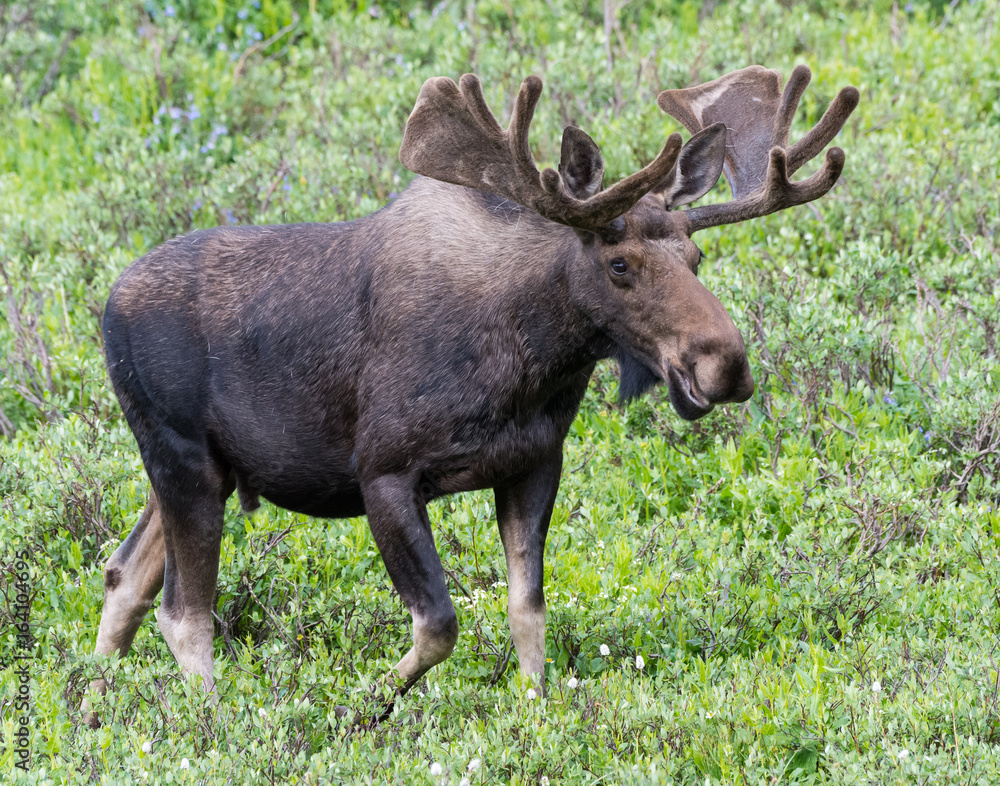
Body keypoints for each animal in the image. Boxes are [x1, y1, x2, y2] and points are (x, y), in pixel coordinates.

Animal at [83, 64, 858, 726]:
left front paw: (535, 714)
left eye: (696, 256)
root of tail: (107, 307)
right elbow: (440, 623)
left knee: (124, 574)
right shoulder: (384, 472)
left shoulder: (533, 463)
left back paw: (92, 701)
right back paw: (214, 724)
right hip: (183, 458)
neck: (532, 362)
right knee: (184, 611)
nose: (725, 365)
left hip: (199, 468)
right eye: (619, 263)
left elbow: (527, 608)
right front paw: (362, 705)